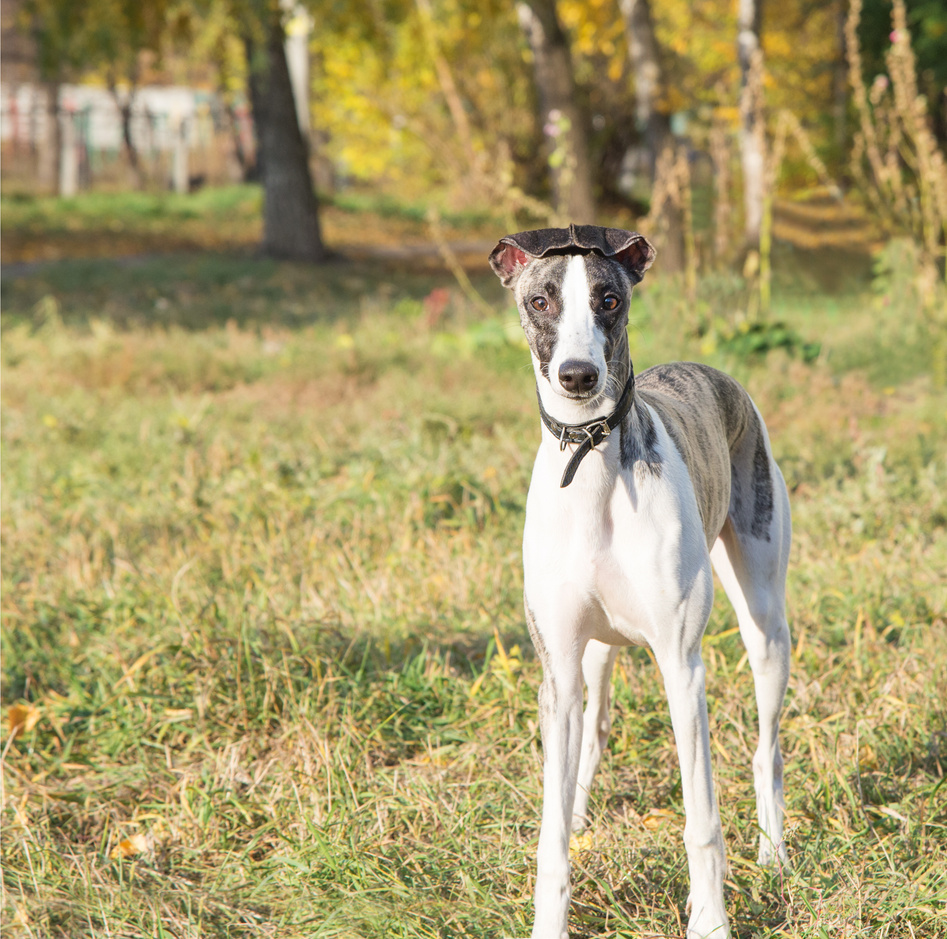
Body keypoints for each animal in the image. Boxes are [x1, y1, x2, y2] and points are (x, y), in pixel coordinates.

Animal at [488, 228, 792, 939]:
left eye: (609, 298)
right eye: (540, 300)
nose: (578, 376)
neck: (591, 464)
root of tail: (710, 370)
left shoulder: (681, 664)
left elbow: (702, 821)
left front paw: (710, 922)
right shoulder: (558, 671)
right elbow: (551, 837)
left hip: (765, 623)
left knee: (766, 750)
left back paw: (773, 854)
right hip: (594, 659)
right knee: (591, 738)